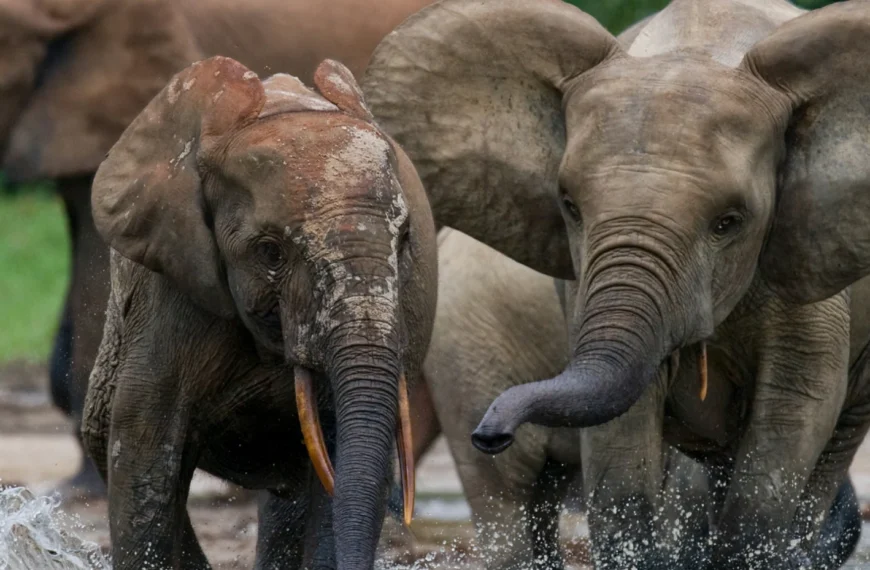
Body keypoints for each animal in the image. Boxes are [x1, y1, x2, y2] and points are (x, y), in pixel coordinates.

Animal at [363, 0, 870, 567]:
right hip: (468, 346)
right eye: (569, 206)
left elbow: (791, 412)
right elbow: (623, 453)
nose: (491, 433)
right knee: (509, 497)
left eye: (730, 222)